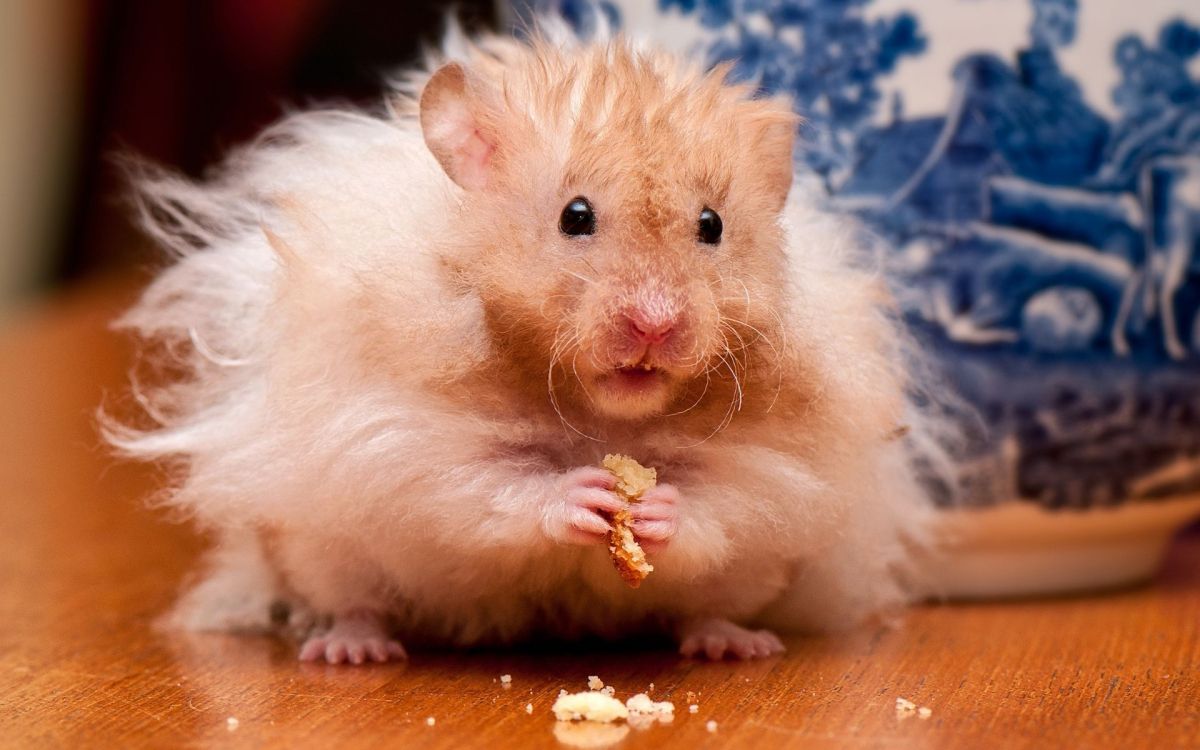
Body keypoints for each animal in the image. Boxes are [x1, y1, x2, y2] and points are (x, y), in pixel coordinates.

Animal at [105, 16, 936, 662]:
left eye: (712, 225)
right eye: (575, 216)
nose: (656, 325)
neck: (600, 414)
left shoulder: (783, 470)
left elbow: (723, 501)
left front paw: (655, 511)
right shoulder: (397, 438)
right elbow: (484, 486)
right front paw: (583, 494)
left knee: (707, 606)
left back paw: (736, 643)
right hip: (320, 548)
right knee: (355, 599)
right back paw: (350, 649)